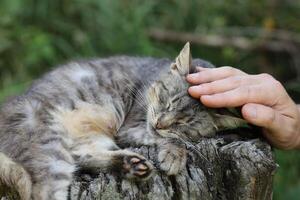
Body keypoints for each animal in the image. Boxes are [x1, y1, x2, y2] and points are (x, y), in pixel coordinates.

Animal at [0, 43, 245, 199]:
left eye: (184, 123)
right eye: (166, 101)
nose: (160, 123)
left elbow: (172, 138)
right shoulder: (132, 125)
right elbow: (166, 139)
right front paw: (174, 154)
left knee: (82, 157)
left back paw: (131, 164)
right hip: (48, 148)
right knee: (43, 191)